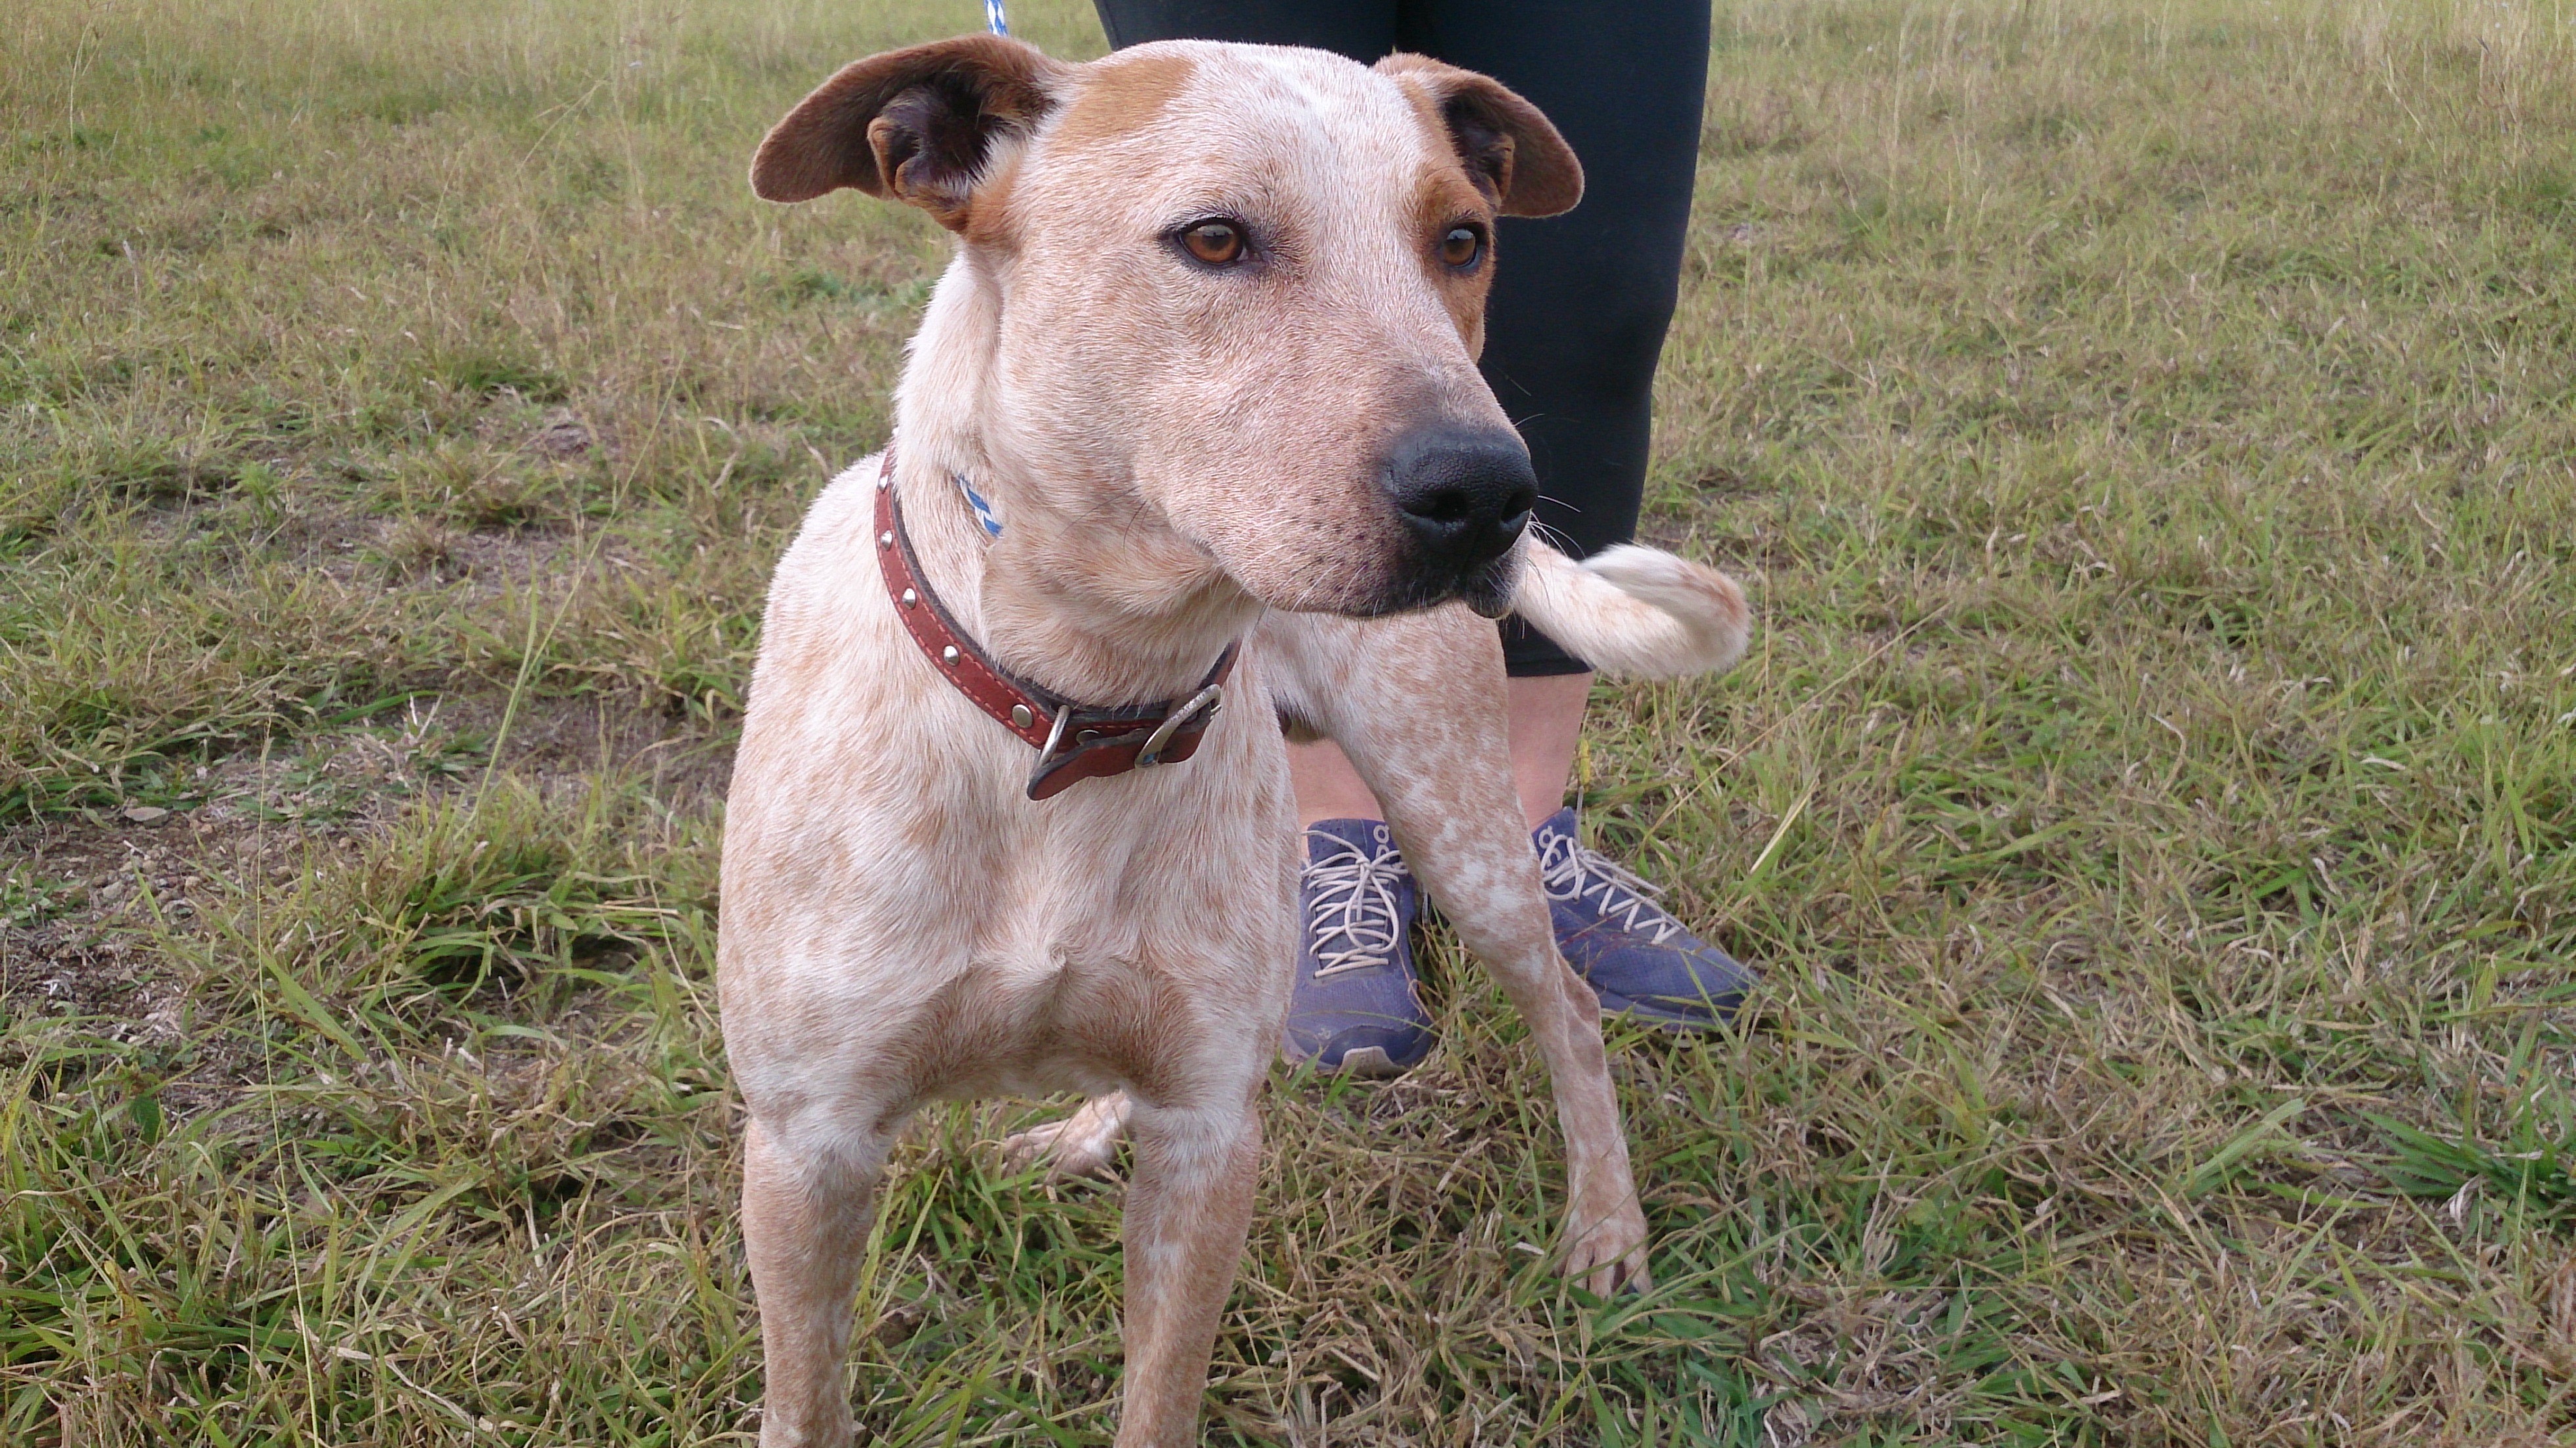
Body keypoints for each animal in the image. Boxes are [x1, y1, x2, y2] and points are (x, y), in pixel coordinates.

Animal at [720, 33, 1750, 1447]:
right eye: (1213, 239)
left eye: (1462, 240)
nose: (1492, 492)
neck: (1080, 701)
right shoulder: (808, 1147)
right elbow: (806, 1395)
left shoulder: (1212, 1139)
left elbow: (1160, 1391)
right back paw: (1081, 1129)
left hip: (1460, 825)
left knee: (1572, 1008)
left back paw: (1605, 1223)